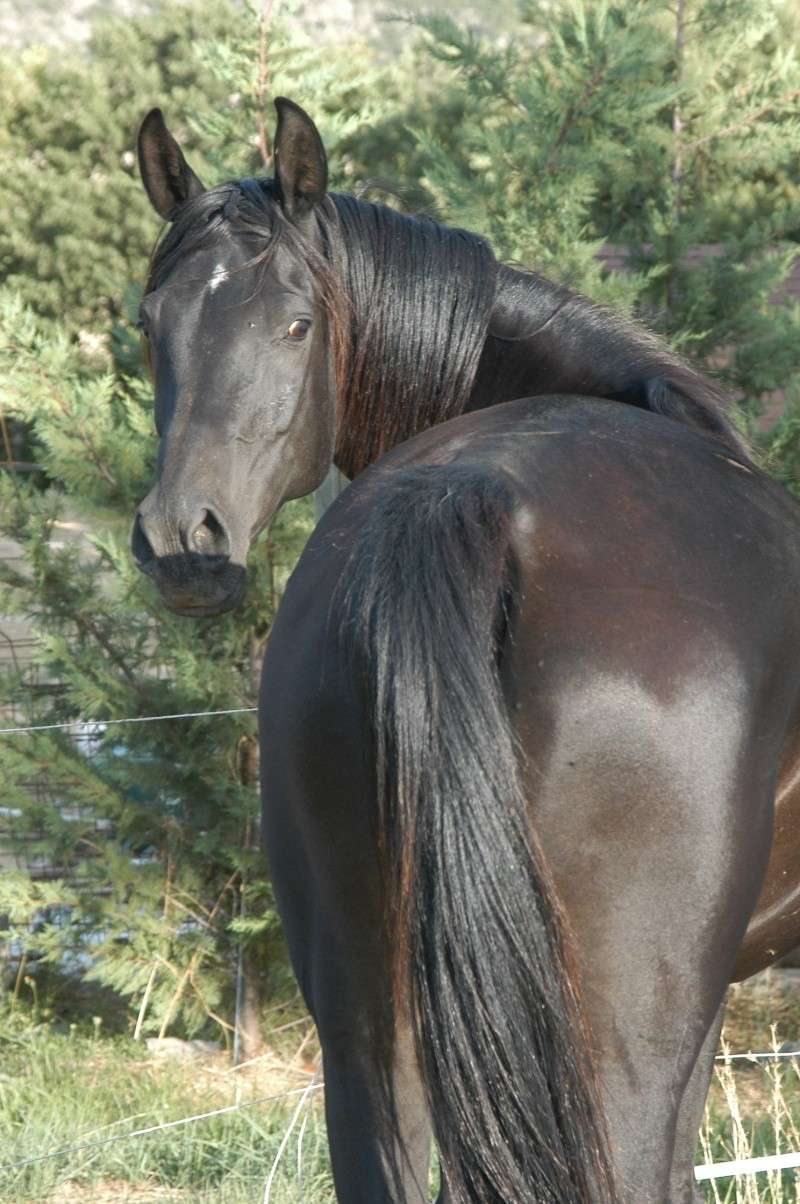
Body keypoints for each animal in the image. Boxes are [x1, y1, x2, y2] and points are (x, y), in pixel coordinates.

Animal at [132, 98, 800, 1199]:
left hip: (366, 1028)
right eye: (153, 325)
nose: (183, 538)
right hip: (629, 1036)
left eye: (296, 324)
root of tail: (470, 497)